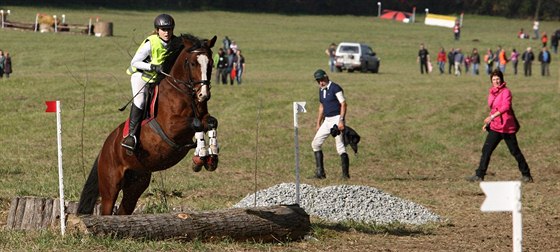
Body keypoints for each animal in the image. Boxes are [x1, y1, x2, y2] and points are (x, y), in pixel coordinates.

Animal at [77, 33, 218, 215]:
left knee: (124, 209)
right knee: (107, 208)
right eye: (193, 63)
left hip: (136, 183)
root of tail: (105, 148)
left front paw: (211, 157)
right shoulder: (172, 127)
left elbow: (211, 123)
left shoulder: (204, 118)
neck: (182, 93)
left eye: (211, 63)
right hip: (110, 185)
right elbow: (197, 124)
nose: (203, 95)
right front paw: (200, 158)